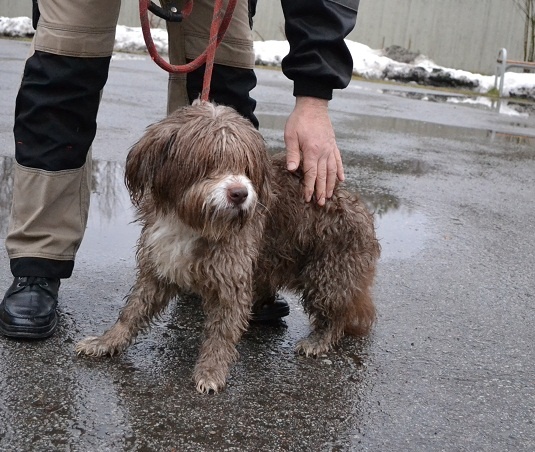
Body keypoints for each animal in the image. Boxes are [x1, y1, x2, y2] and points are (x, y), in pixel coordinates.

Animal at [76, 101, 380, 393]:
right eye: (209, 162)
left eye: (246, 166)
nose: (240, 194)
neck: (192, 221)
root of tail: (360, 209)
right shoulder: (159, 265)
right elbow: (133, 310)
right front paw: (108, 341)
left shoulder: (231, 277)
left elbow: (221, 332)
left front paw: (211, 372)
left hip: (329, 272)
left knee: (336, 315)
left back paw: (319, 340)